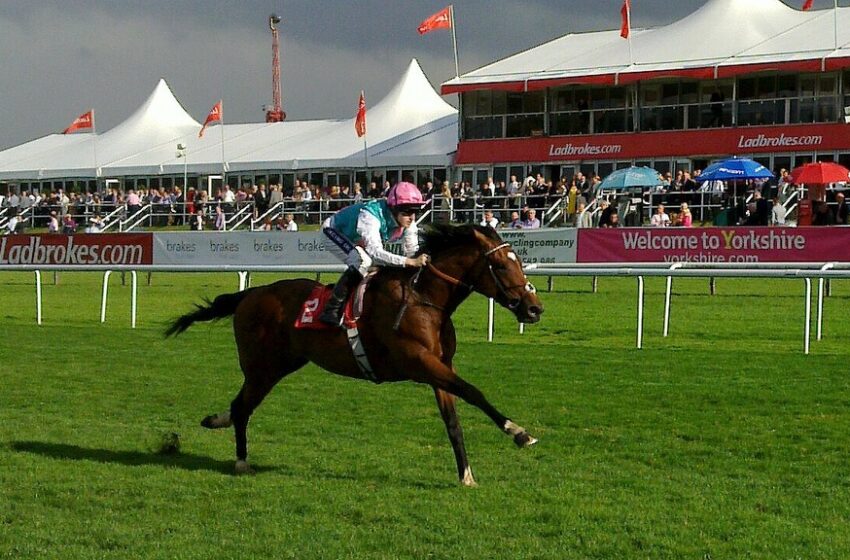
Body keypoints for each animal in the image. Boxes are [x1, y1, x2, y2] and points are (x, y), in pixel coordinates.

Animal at [166, 223, 544, 486]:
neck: (425, 299)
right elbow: (473, 391)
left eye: (520, 262)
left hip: (279, 365)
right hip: (262, 368)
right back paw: (241, 459)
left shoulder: (437, 367)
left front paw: (466, 474)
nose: (534, 308)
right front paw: (518, 432)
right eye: (501, 265)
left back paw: (216, 423)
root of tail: (250, 294)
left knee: (238, 405)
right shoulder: (419, 362)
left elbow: (453, 421)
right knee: (242, 407)